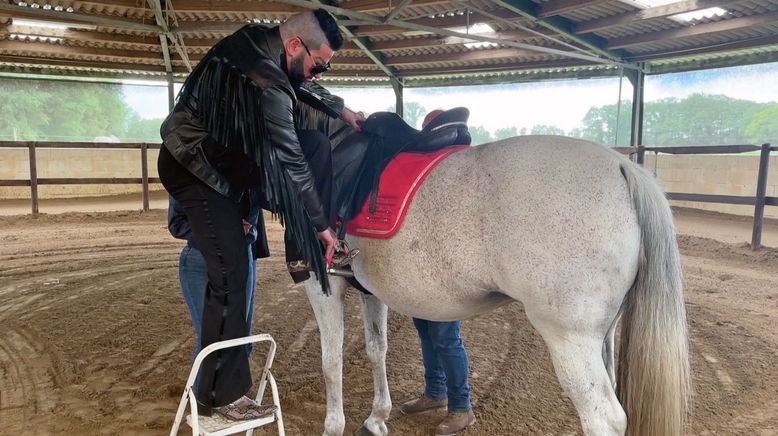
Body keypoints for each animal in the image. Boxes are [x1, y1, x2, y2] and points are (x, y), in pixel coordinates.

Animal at [300, 136, 688, 436]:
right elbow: (375, 350)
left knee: (603, 418)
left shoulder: (321, 285)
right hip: (603, 334)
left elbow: (330, 361)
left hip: (571, 340)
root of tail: (622, 166)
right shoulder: (370, 292)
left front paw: (333, 426)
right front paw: (376, 419)